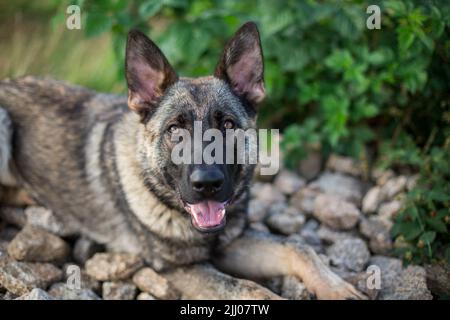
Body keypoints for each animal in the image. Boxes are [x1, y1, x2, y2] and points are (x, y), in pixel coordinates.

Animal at [0, 23, 366, 300]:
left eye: (227, 125)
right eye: (175, 129)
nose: (207, 184)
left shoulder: (229, 246)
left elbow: (297, 247)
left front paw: (338, 289)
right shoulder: (181, 269)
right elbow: (249, 289)